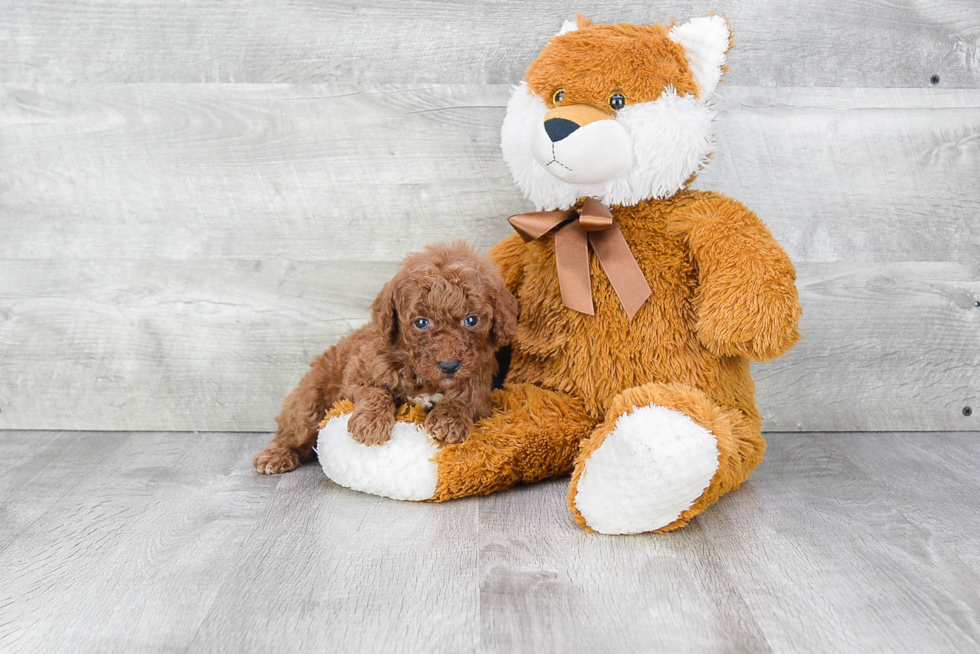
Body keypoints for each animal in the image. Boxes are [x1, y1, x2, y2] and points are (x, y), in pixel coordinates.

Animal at [253, 241, 520, 476]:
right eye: (421, 323)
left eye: (471, 320)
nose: (449, 365)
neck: (421, 375)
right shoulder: (358, 374)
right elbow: (376, 392)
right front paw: (370, 424)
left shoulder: (479, 386)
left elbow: (463, 400)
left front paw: (449, 420)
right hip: (309, 401)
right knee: (292, 431)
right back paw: (275, 456)